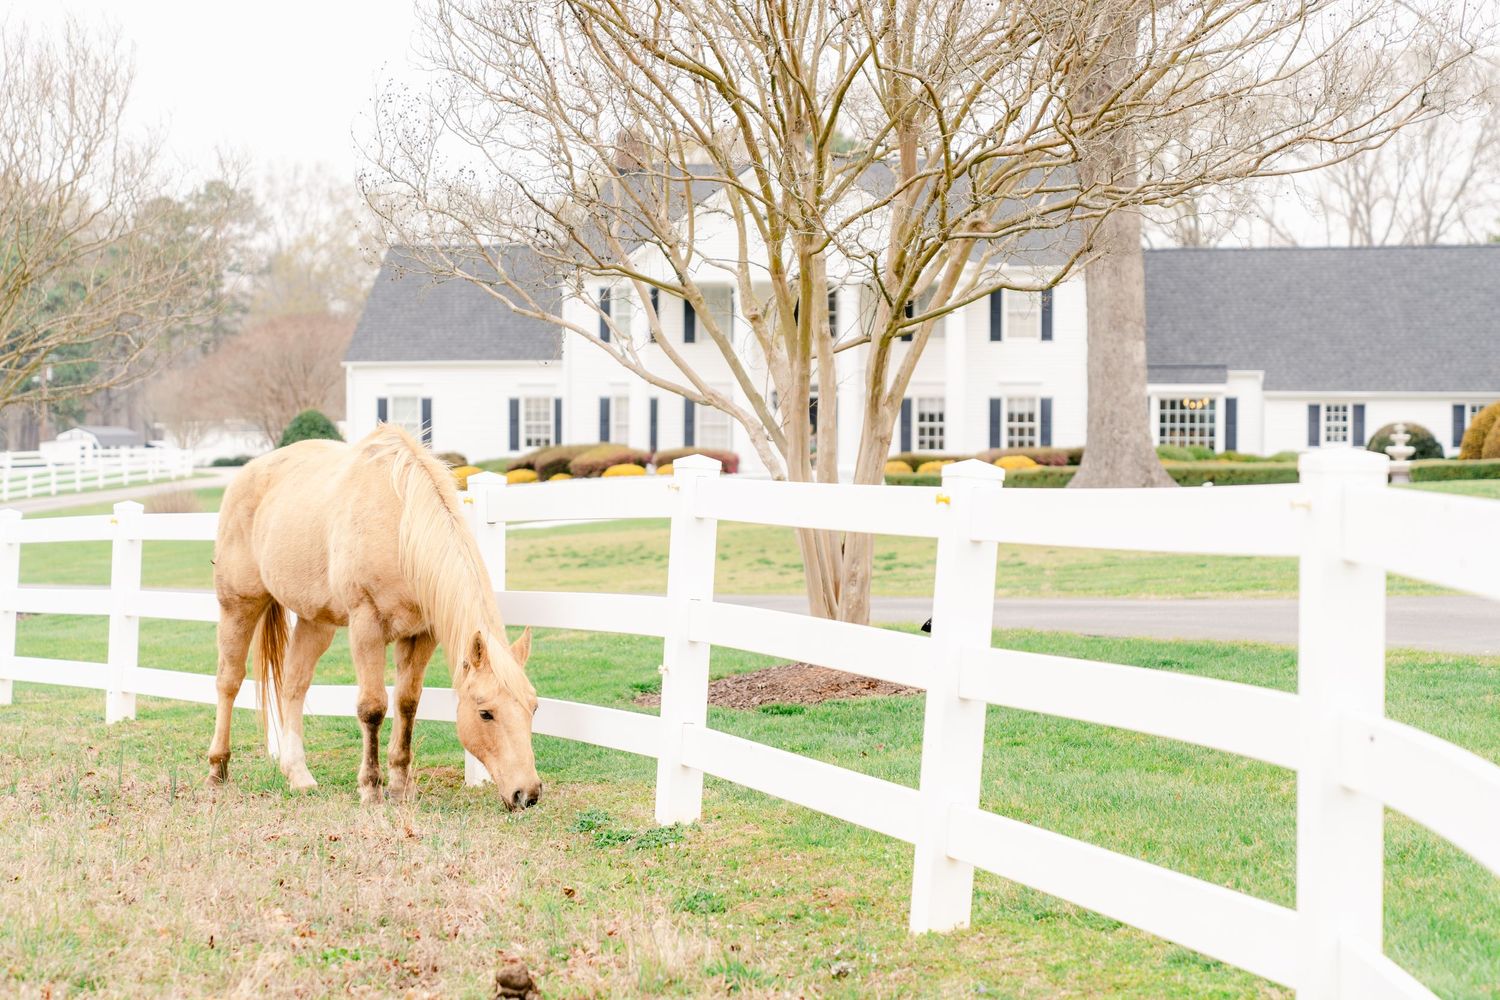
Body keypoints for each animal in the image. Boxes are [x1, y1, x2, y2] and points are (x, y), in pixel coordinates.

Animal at [206, 424, 542, 809]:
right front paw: (371, 787)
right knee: (229, 681)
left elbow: (407, 703)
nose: (527, 793)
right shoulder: (366, 626)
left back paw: (299, 776)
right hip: (239, 604)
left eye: (533, 708)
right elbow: (373, 707)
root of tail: (246, 474)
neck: (401, 528)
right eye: (486, 713)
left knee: (293, 685)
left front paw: (400, 785)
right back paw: (217, 771)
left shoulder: (421, 634)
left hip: (315, 622)